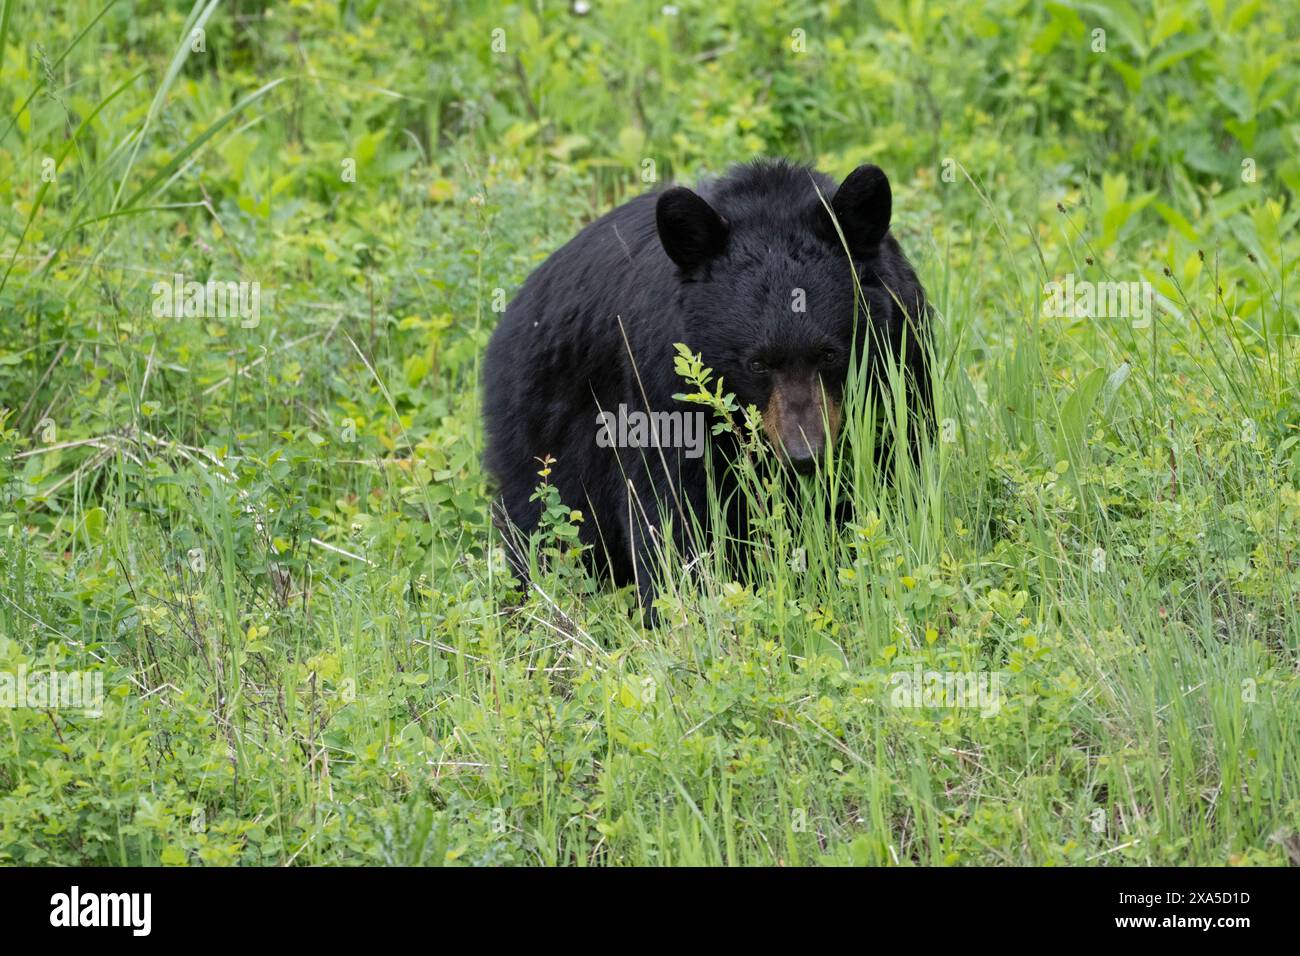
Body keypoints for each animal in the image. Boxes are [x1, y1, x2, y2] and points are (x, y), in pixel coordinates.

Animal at [483, 158, 930, 621]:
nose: (804, 455)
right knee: (540, 517)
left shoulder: (901, 358)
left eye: (829, 354)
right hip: (542, 420)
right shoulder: (661, 385)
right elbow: (670, 502)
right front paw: (680, 605)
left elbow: (892, 464)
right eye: (756, 363)